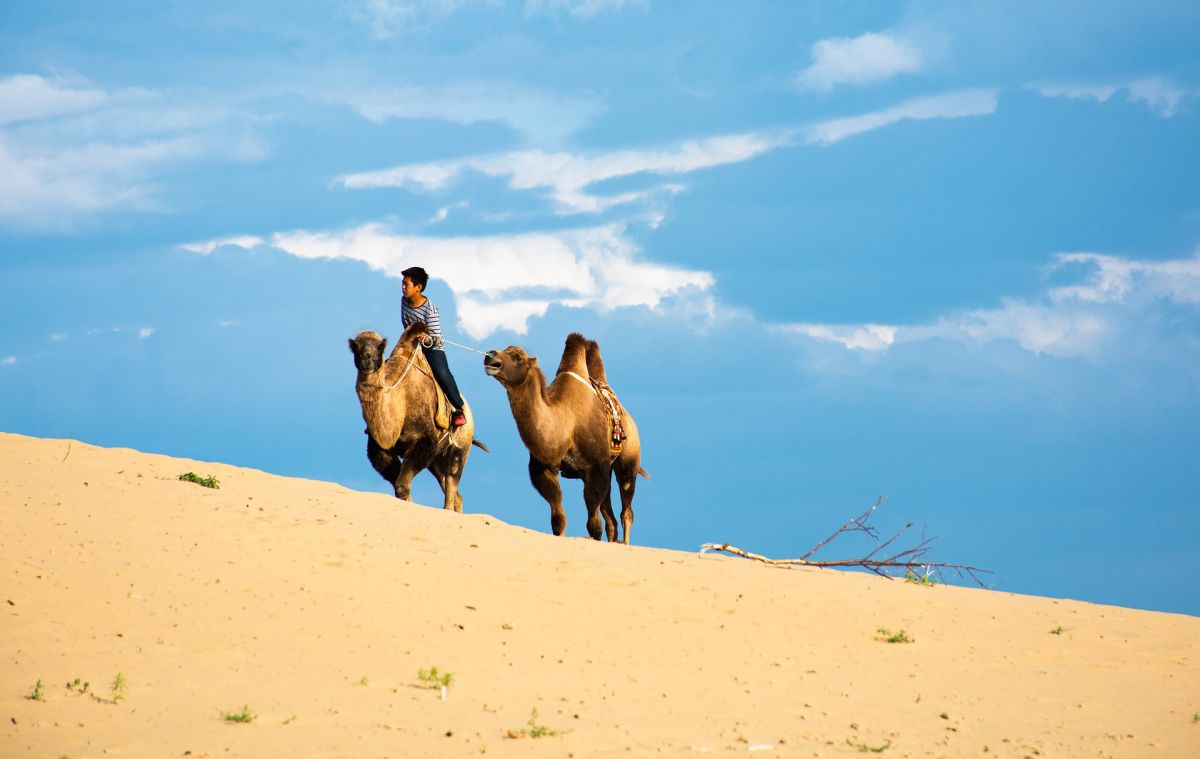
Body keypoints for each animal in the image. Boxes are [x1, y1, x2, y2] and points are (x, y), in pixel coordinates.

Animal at [350, 324, 487, 514]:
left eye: (380, 347)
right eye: (355, 347)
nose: (366, 360)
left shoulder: (425, 440)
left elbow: (402, 487)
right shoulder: (380, 448)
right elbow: (399, 486)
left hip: (461, 447)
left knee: (452, 481)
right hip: (436, 460)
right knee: (452, 488)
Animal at [482, 333, 648, 542]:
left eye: (517, 357)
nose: (490, 355)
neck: (566, 424)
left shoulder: (597, 466)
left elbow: (594, 525)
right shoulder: (545, 468)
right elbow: (558, 519)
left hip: (627, 462)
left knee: (626, 511)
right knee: (611, 520)